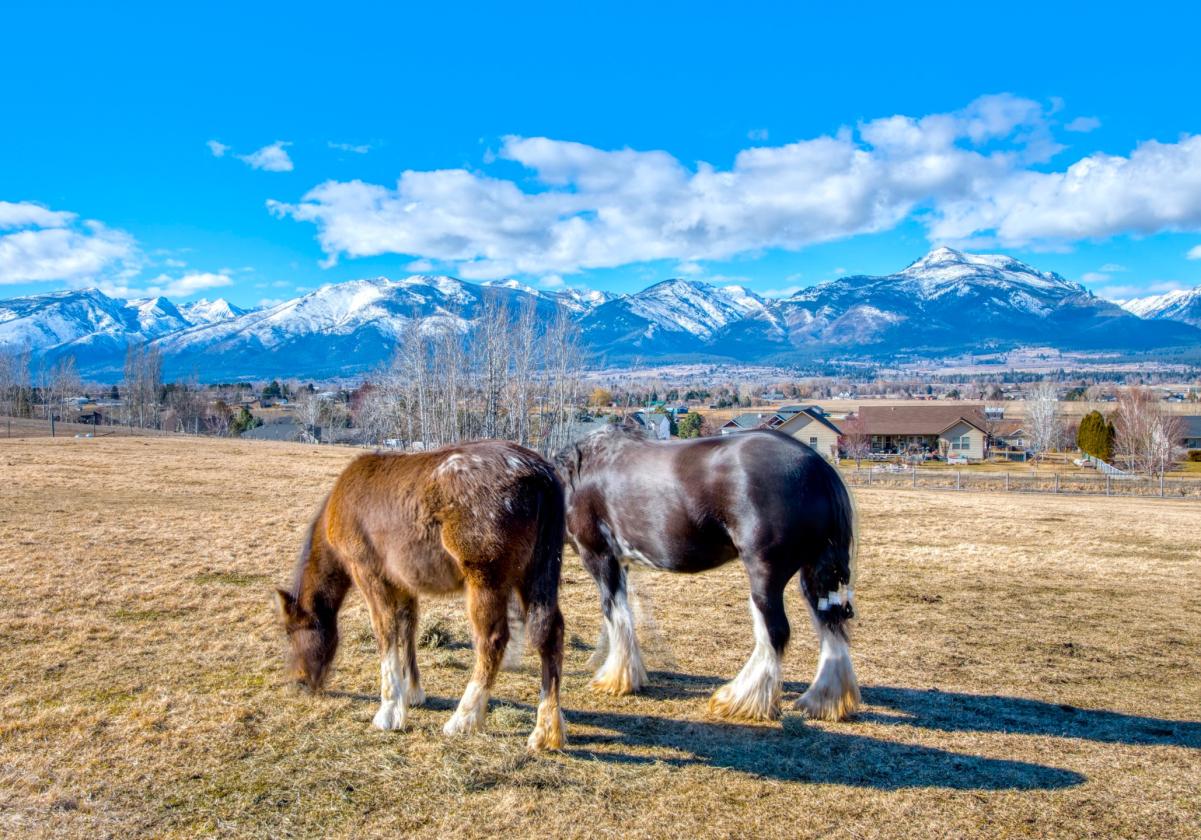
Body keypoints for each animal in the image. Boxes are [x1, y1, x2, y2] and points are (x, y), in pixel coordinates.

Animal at [273, 440, 567, 751]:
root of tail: (541, 473)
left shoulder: (369, 576)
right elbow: (408, 630)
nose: (300, 681)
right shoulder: (403, 583)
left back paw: (463, 719)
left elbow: (386, 633)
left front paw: (389, 710)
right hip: (532, 577)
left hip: (487, 581)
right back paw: (547, 731)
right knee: (551, 635)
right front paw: (412, 692)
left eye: (290, 632)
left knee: (492, 641)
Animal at [556, 426, 860, 722]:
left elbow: (614, 612)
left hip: (765, 574)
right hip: (816, 574)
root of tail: (818, 467)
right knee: (830, 624)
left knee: (775, 632)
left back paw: (740, 699)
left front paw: (614, 679)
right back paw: (823, 700)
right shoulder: (621, 563)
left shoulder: (599, 556)